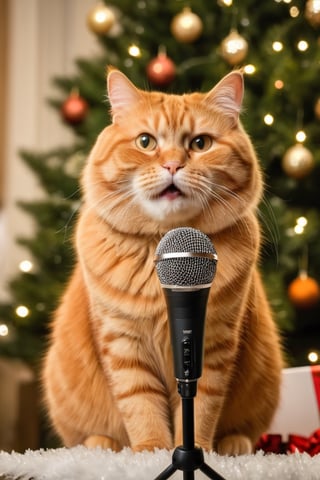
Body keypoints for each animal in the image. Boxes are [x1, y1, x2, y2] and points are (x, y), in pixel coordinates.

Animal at [42, 66, 282, 454]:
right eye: (146, 142)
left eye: (200, 144)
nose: (172, 164)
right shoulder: (123, 341)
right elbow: (141, 405)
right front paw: (151, 450)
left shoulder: (214, 342)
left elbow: (201, 408)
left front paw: (197, 449)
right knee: (88, 435)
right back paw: (100, 445)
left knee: (244, 430)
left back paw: (234, 444)